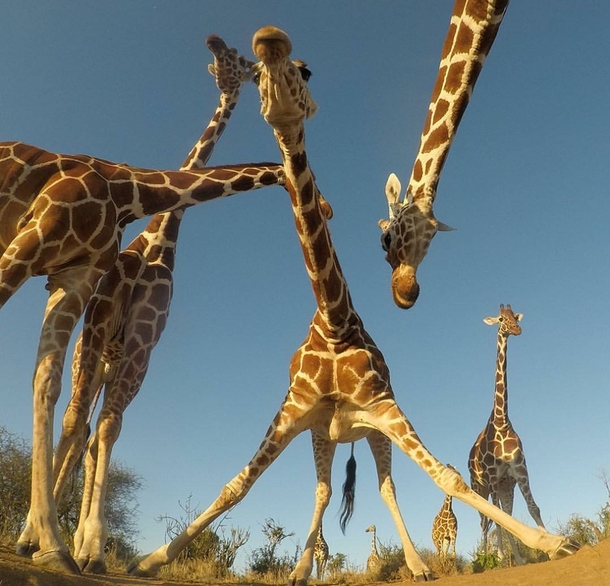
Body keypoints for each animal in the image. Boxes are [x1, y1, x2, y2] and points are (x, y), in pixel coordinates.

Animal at [466, 302, 540, 560]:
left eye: (514, 316)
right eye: (500, 319)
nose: (516, 329)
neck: (501, 421)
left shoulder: (519, 471)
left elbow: (533, 508)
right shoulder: (492, 478)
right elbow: (496, 520)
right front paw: (499, 557)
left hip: (505, 487)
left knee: (502, 516)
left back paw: (512, 558)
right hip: (481, 487)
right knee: (484, 521)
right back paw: (490, 557)